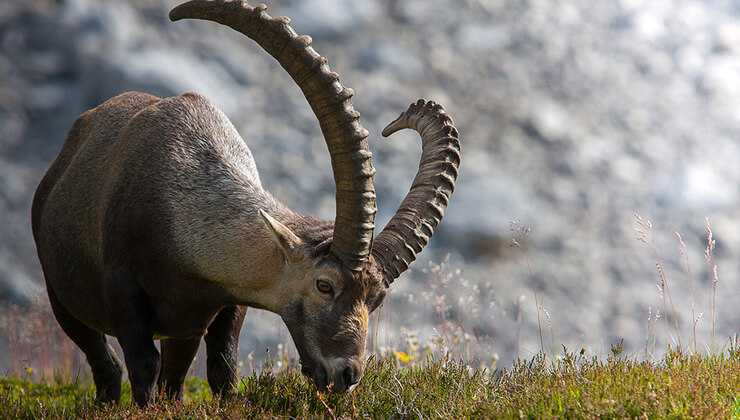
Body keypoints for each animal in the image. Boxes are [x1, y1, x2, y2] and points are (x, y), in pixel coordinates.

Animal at [34, 0, 460, 406]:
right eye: (324, 285)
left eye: (377, 298)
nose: (347, 376)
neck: (181, 222)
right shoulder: (125, 297)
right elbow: (143, 367)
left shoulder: (223, 304)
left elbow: (223, 369)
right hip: (63, 298)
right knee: (105, 364)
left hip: (182, 330)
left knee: (172, 377)